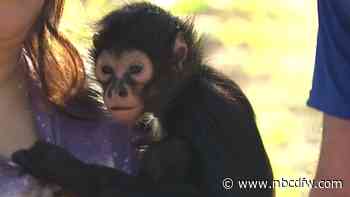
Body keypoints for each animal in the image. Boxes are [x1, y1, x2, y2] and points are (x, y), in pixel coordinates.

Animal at [10, 1, 274, 197]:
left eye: (136, 69)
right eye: (107, 70)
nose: (116, 91)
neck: (184, 92)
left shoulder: (208, 111)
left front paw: (64, 167)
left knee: (170, 151)